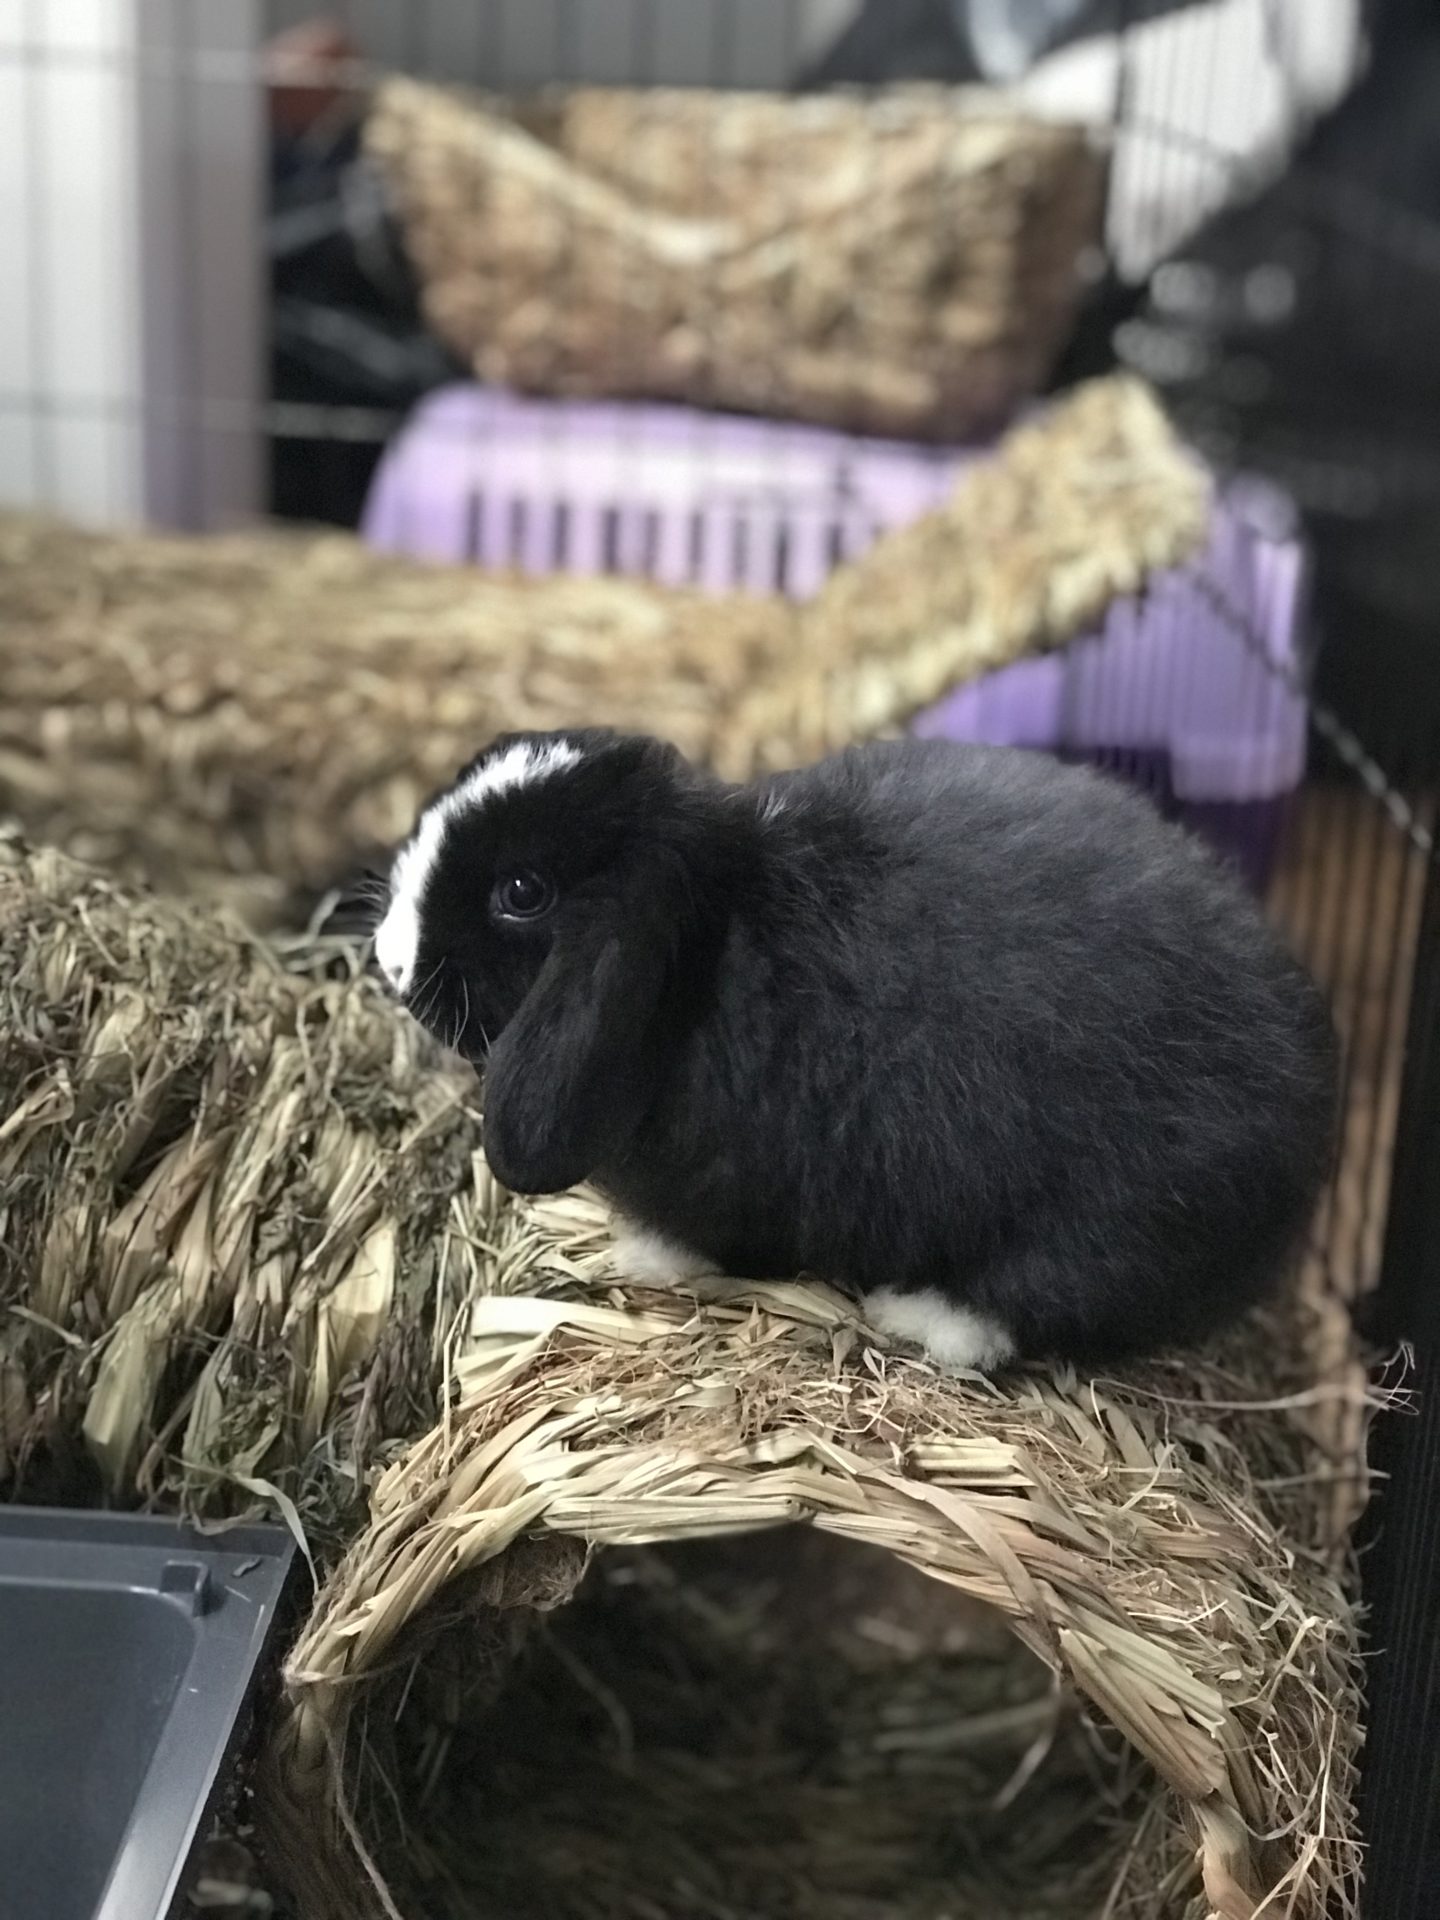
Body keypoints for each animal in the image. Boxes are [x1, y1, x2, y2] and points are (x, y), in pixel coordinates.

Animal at [373, 727, 1336, 1371]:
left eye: (521, 891)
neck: (715, 938)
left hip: (1106, 1227)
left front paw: (647, 1255)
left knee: (1034, 1302)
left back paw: (921, 1316)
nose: (388, 959)